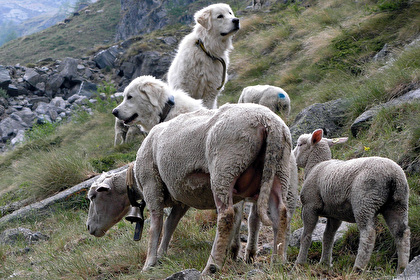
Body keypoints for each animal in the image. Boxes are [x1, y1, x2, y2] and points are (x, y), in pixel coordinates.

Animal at [136, 102, 290, 276]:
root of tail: (268, 122)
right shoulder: (182, 199)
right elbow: (170, 224)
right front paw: (161, 255)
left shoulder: (151, 184)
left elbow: (155, 226)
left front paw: (149, 263)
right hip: (279, 169)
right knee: (280, 213)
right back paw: (278, 261)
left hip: (225, 166)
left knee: (226, 216)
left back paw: (212, 266)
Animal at [292, 129, 410, 274]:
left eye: (299, 144)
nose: (292, 156)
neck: (316, 165)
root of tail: (393, 176)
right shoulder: (334, 214)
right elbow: (328, 237)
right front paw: (324, 263)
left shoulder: (310, 206)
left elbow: (306, 236)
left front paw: (299, 263)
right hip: (398, 203)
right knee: (402, 233)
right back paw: (401, 268)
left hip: (365, 201)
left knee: (368, 234)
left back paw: (358, 267)